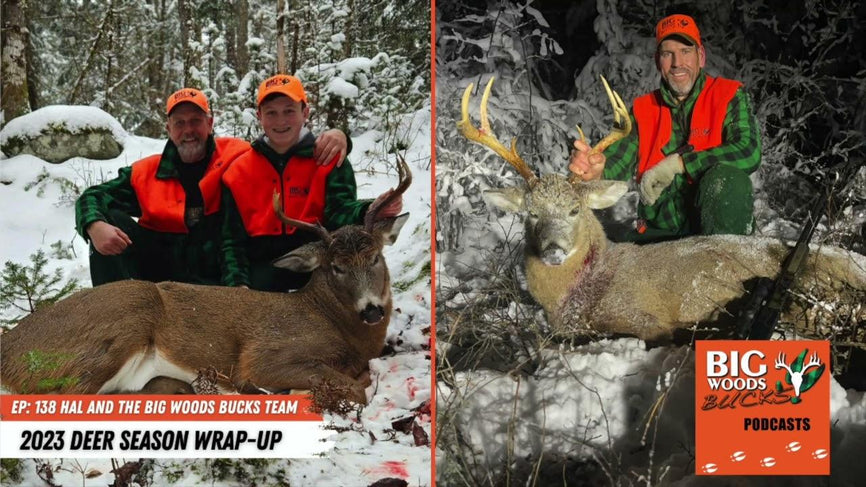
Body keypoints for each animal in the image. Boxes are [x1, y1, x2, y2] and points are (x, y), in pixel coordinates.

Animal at [0, 158, 412, 403]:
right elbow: (356, 388)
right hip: (122, 321)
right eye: (336, 267)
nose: (372, 310)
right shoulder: (264, 355)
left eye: (375, 257)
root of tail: (9, 348)